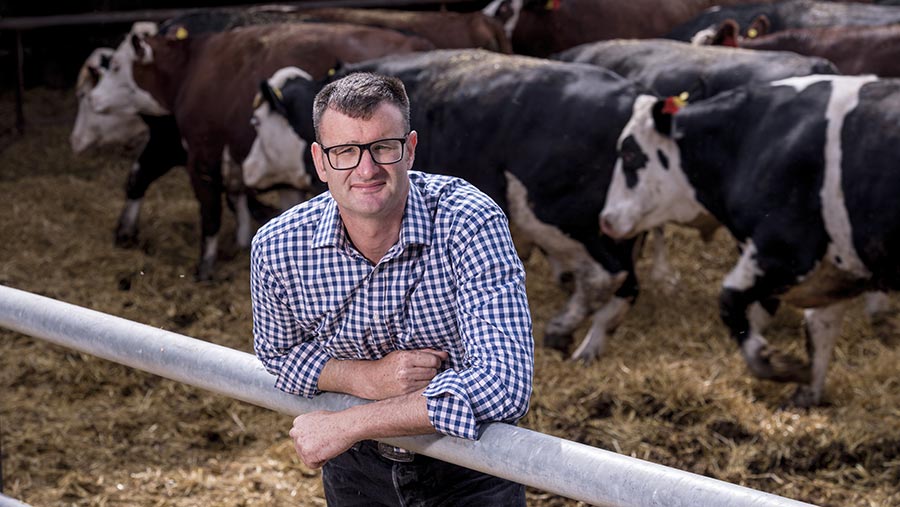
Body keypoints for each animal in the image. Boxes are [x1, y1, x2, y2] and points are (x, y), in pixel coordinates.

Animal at [246, 49, 652, 362]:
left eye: (257, 122)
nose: (247, 170)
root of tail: (630, 95)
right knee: (626, 283)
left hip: (562, 214)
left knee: (608, 275)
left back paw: (567, 328)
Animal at [596, 75, 900, 406]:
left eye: (629, 154)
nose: (606, 219)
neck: (750, 139)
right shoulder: (836, 272)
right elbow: (819, 331)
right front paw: (805, 395)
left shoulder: (783, 251)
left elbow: (729, 301)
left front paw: (774, 363)